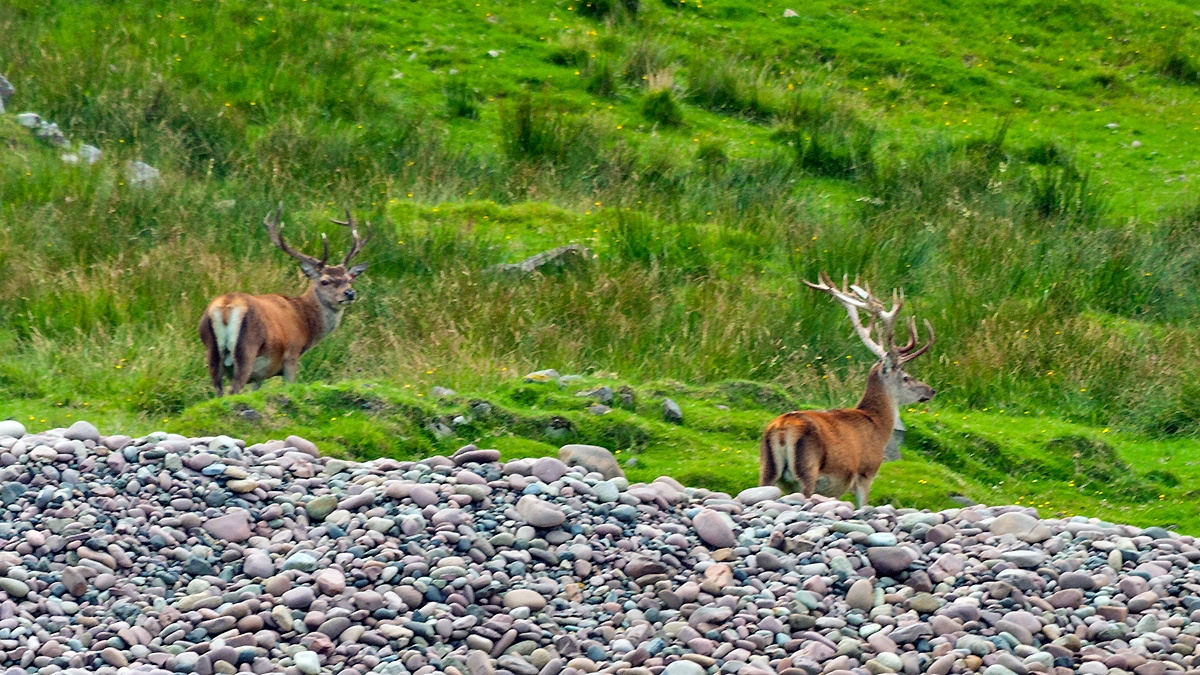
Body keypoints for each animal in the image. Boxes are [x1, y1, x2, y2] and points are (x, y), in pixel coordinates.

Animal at [199, 203, 369, 396]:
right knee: (233, 389)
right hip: (246, 349)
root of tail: (226, 307)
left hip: (211, 351)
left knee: (218, 391)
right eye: (325, 281)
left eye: (349, 279)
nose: (349, 293)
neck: (305, 322)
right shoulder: (292, 355)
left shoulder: (261, 373)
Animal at [759, 272, 936, 507]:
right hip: (807, 470)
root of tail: (781, 428)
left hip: (767, 468)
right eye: (906, 378)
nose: (930, 390)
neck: (877, 425)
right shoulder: (866, 473)